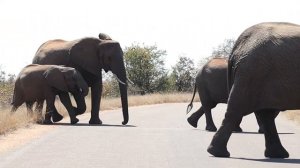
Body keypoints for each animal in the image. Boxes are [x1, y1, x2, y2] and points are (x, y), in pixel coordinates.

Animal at [206, 22, 300, 159]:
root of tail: (237, 48)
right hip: (252, 74)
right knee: (237, 110)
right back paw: (218, 153)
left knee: (266, 115)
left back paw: (278, 154)